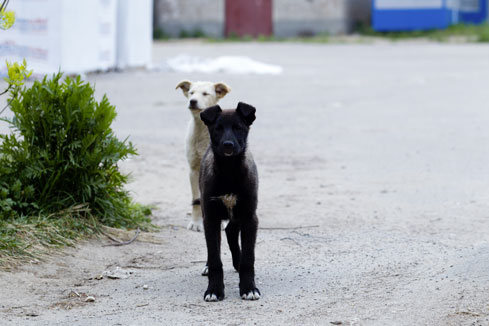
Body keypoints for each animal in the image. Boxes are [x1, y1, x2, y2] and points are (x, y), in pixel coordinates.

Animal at [175, 80, 231, 230]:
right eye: (191, 93)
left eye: (205, 94)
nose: (192, 101)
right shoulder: (193, 170)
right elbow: (196, 199)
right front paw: (196, 223)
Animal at [197, 103, 260, 302]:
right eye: (217, 129)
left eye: (239, 128)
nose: (228, 145)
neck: (229, 172)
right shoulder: (210, 217)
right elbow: (215, 258)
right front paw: (214, 290)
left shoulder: (249, 217)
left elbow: (248, 258)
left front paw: (249, 288)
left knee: (231, 231)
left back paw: (237, 262)